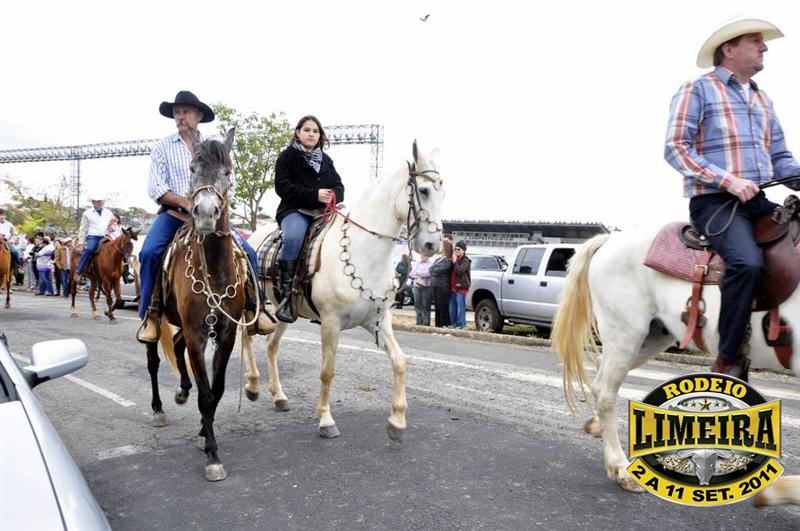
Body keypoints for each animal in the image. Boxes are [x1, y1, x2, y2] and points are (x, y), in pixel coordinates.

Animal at [143, 128, 259, 482]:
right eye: (193, 169)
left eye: (228, 172)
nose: (206, 214)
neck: (214, 271)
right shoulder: (197, 334)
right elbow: (206, 393)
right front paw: (212, 454)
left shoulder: (225, 333)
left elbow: (216, 390)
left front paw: (203, 434)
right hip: (155, 318)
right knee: (153, 360)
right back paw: (158, 409)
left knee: (177, 346)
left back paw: (182, 390)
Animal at [247, 140, 444, 442]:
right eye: (423, 190)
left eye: (443, 190)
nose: (433, 245)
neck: (364, 253)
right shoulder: (330, 323)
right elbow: (328, 371)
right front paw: (326, 420)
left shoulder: (378, 320)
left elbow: (399, 361)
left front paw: (397, 422)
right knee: (245, 338)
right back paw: (252, 385)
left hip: (283, 312)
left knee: (271, 345)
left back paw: (279, 396)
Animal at [552, 225, 800, 505]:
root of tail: (610, 240)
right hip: (626, 333)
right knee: (605, 392)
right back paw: (620, 468)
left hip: (651, 337)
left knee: (600, 375)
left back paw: (598, 428)